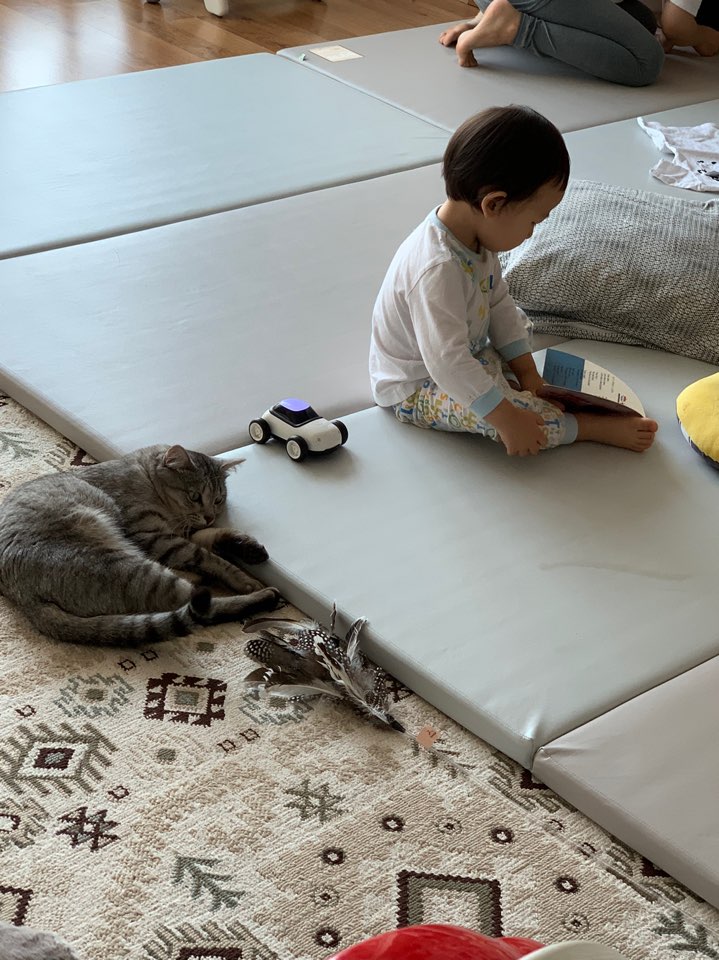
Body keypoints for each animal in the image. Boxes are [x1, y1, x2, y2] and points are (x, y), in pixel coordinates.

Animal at [0, 444, 279, 646]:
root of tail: (24, 598)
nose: (210, 514)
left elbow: (211, 536)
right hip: (129, 567)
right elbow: (209, 557)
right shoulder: (155, 537)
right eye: (194, 496)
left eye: (219, 499)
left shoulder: (174, 534)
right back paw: (262, 596)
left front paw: (245, 545)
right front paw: (242, 578)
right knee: (197, 605)